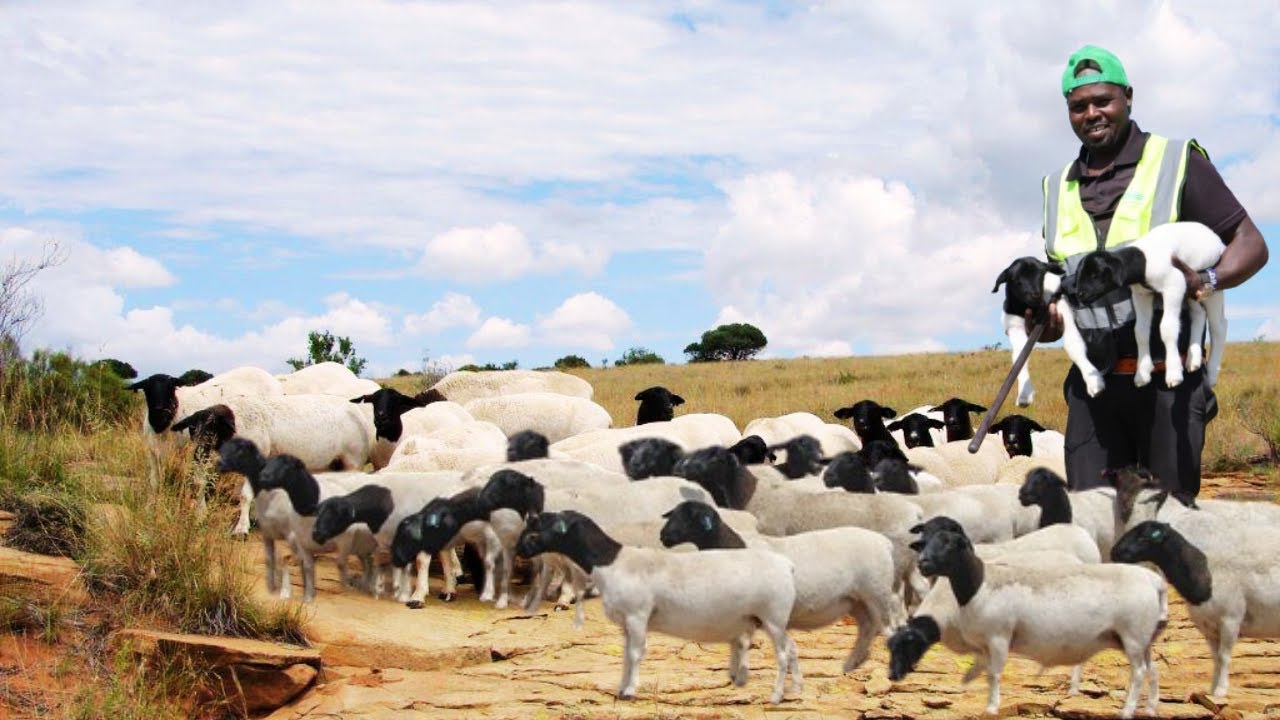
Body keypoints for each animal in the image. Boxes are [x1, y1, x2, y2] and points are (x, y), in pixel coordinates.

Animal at [515, 509, 802, 704]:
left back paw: (777, 695)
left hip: (773, 617)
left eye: (536, 531)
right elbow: (626, 655)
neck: (613, 561)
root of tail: (787, 566)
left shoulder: (637, 615)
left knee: (783, 654)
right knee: (791, 648)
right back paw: (795, 688)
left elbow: (635, 654)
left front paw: (629, 691)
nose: (519, 552)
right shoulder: (626, 622)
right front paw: (622, 688)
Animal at [660, 500, 903, 673]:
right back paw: (851, 664)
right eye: (673, 514)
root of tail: (884, 543)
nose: (663, 536)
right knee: (867, 627)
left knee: (888, 625)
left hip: (876, 591)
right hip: (855, 599)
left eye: (689, 518)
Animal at [894, 527, 1166, 718]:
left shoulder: (999, 636)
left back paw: (1127, 710)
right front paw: (969, 683)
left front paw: (992, 708)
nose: (922, 563)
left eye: (949, 544)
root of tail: (1156, 583)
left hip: (1133, 636)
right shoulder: (984, 642)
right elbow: (984, 670)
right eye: (924, 543)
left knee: (1138, 673)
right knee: (1152, 669)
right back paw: (1150, 708)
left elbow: (994, 673)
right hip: (1141, 639)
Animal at [1072, 221, 1227, 389]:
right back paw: (1193, 359)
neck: (1143, 262)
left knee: (1218, 327)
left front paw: (1173, 374)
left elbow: (1167, 328)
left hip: (1209, 286)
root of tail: (1217, 240)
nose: (1079, 294)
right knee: (1199, 314)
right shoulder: (1141, 295)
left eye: (1096, 274)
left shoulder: (1174, 284)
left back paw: (1211, 374)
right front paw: (1142, 374)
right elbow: (1140, 331)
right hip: (1192, 290)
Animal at [1111, 520, 1280, 699]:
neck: (1206, 575)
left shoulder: (1231, 619)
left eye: (1144, 537)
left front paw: (1220, 691)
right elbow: (1216, 658)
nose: (1114, 552)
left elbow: (1224, 656)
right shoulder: (1208, 627)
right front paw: (1212, 689)